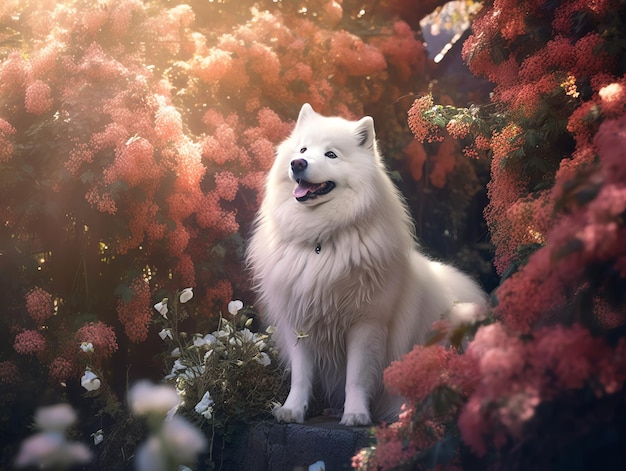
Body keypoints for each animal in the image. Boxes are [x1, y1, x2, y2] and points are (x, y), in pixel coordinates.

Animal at [246, 104, 486, 428]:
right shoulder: (301, 321)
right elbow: (301, 376)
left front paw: (356, 414)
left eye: (331, 154)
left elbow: (356, 378)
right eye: (303, 149)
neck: (321, 241)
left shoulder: (366, 324)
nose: (298, 163)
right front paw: (292, 410)